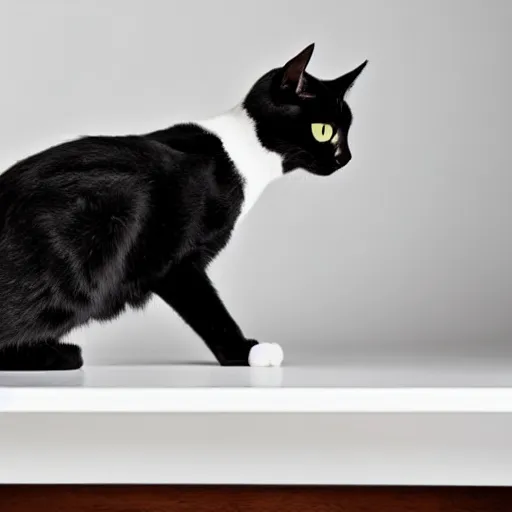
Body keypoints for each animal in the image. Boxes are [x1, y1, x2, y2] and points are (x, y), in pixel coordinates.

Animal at [0, 44, 366, 370]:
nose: (346, 158)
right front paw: (245, 352)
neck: (242, 153)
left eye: (347, 132)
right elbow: (208, 309)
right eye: (324, 131)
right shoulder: (176, 262)